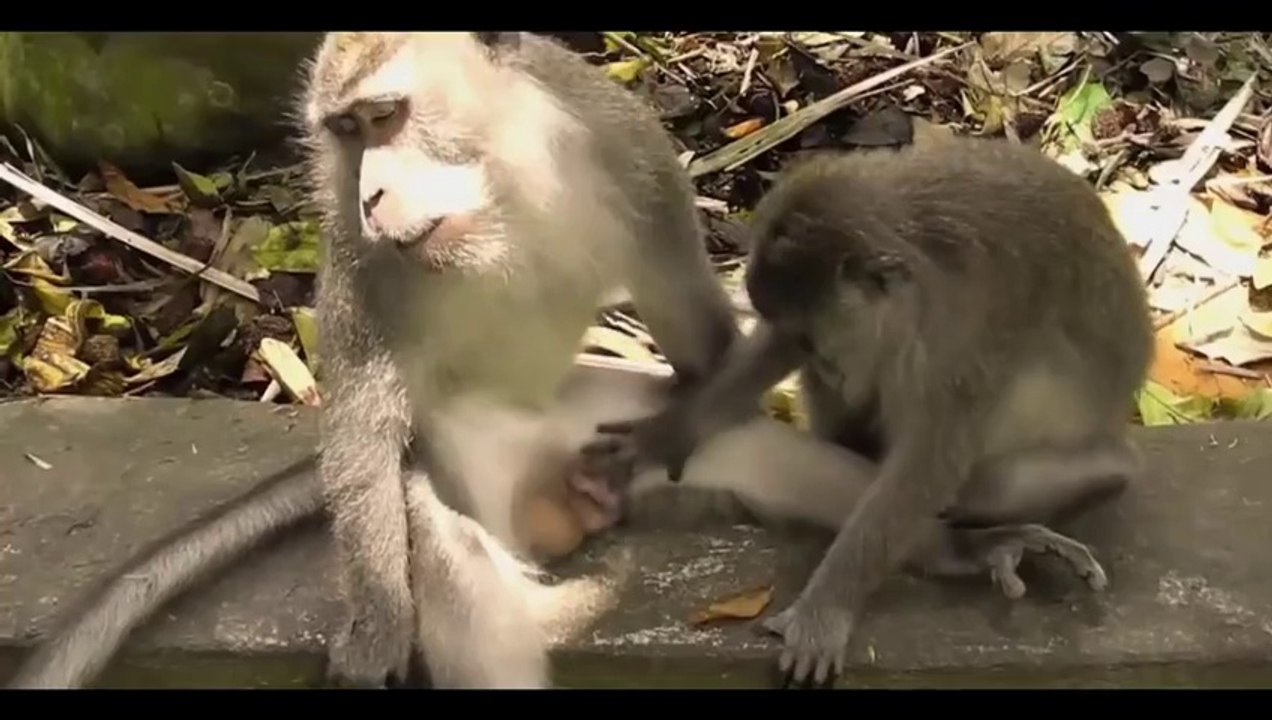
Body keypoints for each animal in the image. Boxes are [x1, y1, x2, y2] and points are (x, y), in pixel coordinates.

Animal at [581, 132, 1155, 687]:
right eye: (800, 340)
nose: (825, 365)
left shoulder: (960, 341)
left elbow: (927, 467)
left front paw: (825, 609)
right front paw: (664, 436)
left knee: (997, 483)